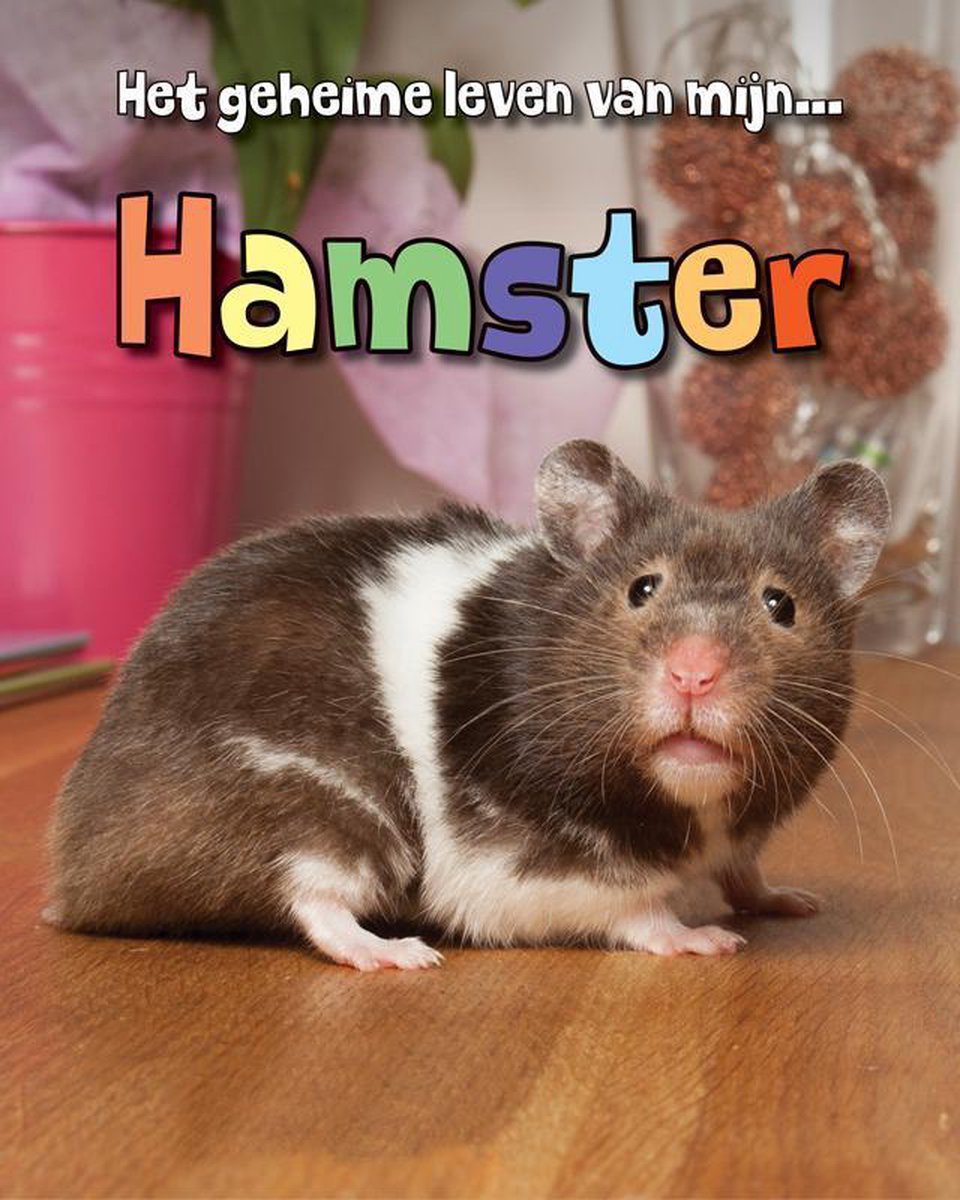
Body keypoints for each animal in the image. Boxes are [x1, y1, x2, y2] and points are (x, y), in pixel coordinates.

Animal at [45, 439, 891, 969]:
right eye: (642, 589)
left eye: (781, 605)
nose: (693, 675)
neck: (692, 812)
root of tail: (75, 875)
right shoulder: (525, 872)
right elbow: (632, 909)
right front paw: (706, 941)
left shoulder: (737, 840)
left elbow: (746, 871)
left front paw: (792, 901)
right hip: (325, 807)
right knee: (313, 900)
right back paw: (398, 957)